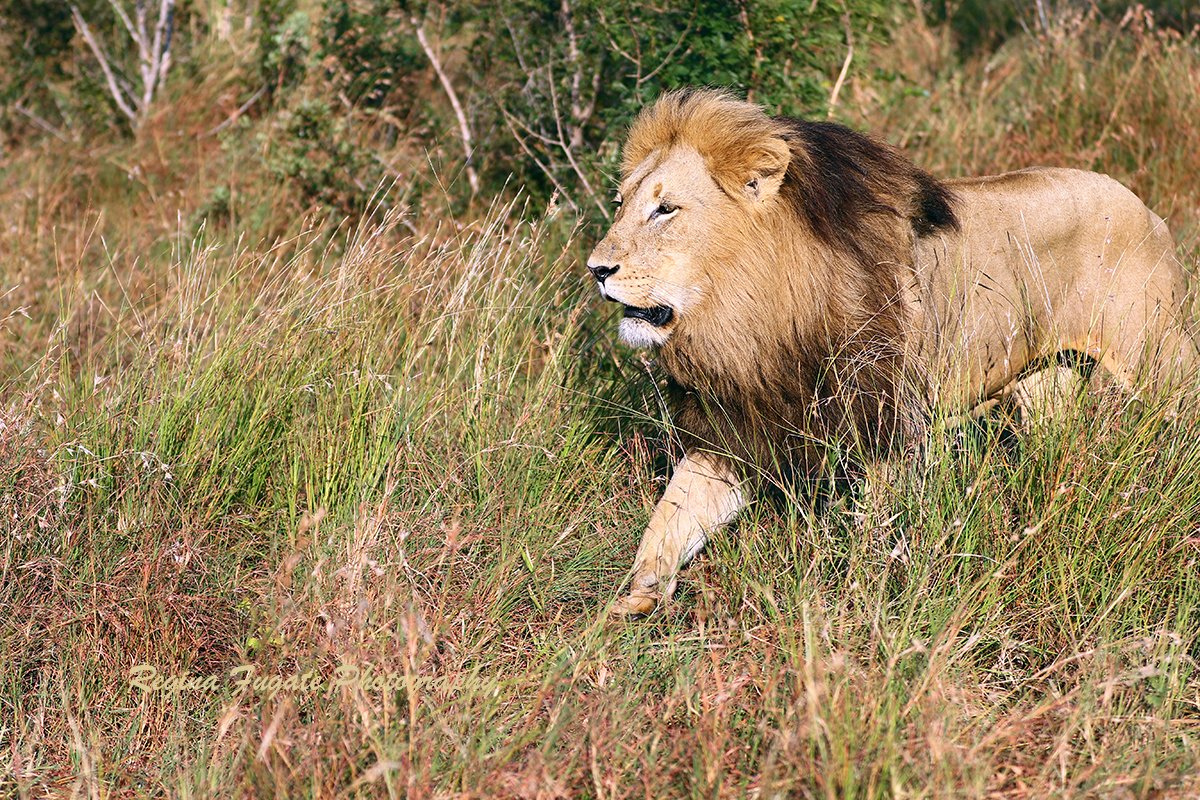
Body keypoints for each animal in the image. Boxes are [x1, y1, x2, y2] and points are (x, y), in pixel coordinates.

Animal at [586, 88, 1197, 616]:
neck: (750, 312)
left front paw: (854, 604)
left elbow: (872, 536)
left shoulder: (885, 428)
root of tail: (1149, 210)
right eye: (621, 204)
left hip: (1159, 362)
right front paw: (631, 600)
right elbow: (670, 520)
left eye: (666, 210)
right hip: (1043, 386)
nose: (596, 269)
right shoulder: (737, 426)